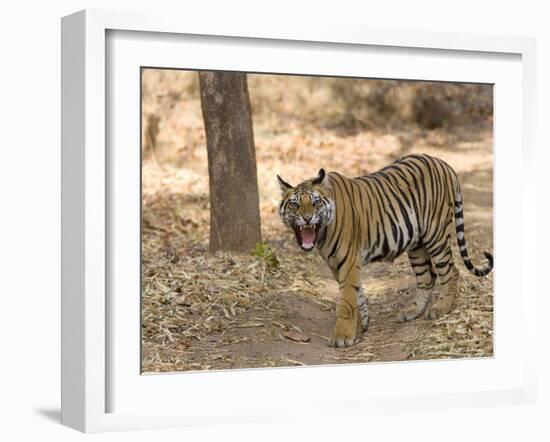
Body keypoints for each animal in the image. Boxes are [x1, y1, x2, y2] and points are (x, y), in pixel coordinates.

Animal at [278, 154, 494, 348]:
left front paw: (342, 336)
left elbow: (346, 298)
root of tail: (443, 163)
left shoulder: (348, 261)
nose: (307, 218)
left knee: (451, 271)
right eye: (294, 204)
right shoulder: (336, 264)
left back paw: (441, 308)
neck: (322, 232)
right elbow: (357, 294)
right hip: (416, 244)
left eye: (315, 203)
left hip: (436, 234)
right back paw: (411, 312)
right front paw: (363, 322)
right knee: (427, 277)